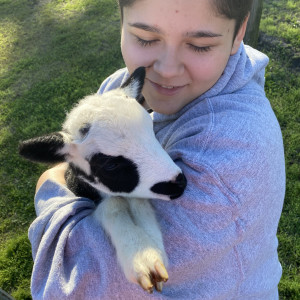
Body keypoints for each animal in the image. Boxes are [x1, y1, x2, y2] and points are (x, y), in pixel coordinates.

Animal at [19, 67, 186, 294]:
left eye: (152, 130)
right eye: (110, 165)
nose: (179, 183)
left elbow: (137, 201)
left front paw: (149, 251)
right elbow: (113, 205)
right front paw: (141, 257)